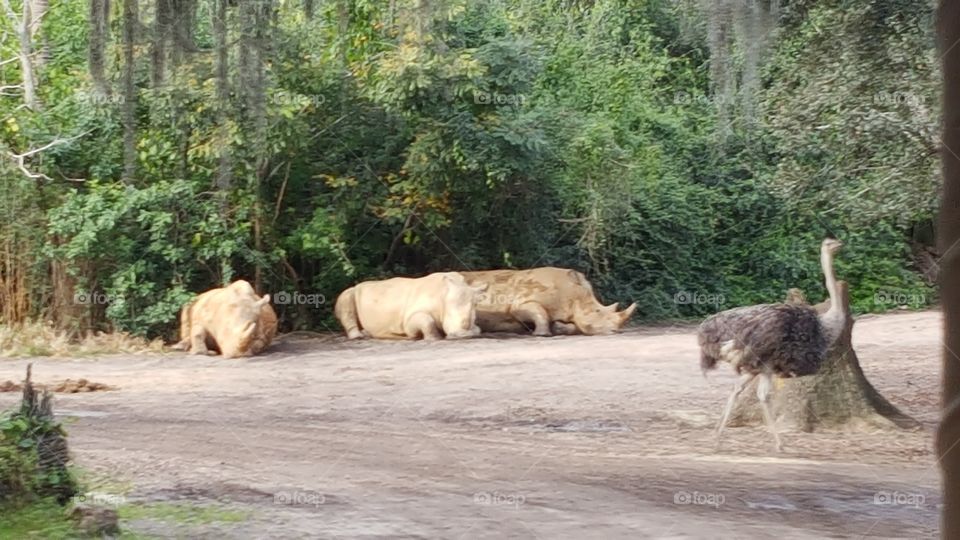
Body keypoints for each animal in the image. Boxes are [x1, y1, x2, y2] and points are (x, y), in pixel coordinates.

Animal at [336, 272, 488, 340]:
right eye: (448, 316)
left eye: (474, 309)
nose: (462, 334)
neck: (442, 296)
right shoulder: (408, 321)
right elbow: (426, 321)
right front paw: (434, 338)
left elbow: (479, 329)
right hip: (351, 292)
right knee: (346, 296)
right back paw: (358, 336)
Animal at [460, 268, 632, 336]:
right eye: (597, 311)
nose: (616, 331)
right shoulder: (520, 304)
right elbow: (540, 313)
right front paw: (543, 334)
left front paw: (558, 328)